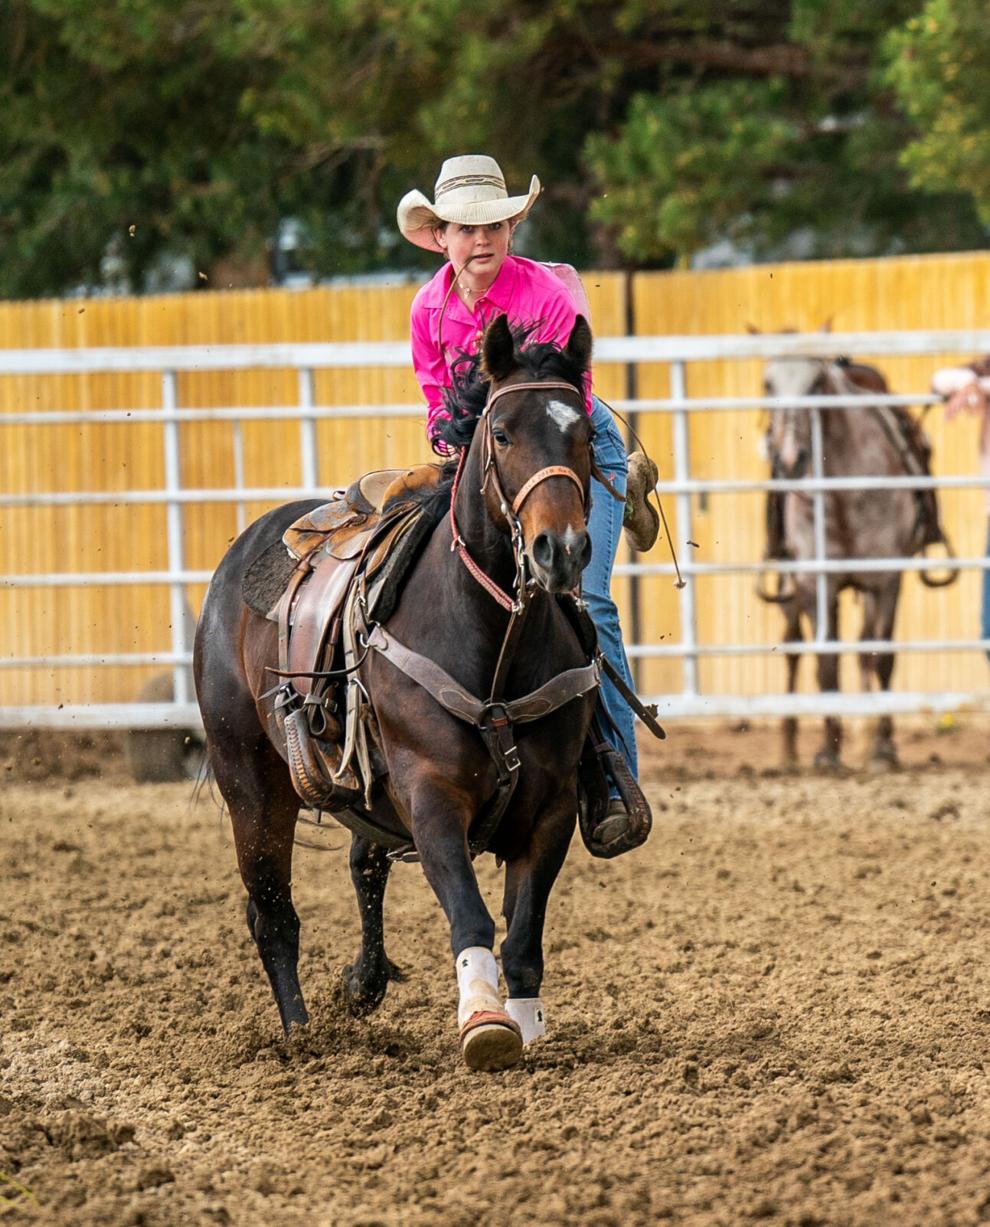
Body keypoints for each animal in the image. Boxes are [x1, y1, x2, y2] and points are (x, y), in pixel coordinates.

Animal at [190, 314, 601, 1065]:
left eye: (583, 432)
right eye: (502, 433)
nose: (559, 549)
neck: (493, 644)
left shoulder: (552, 806)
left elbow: (524, 937)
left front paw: (525, 1024)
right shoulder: (431, 794)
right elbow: (469, 913)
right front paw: (484, 1022)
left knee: (363, 863)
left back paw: (364, 982)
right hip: (249, 779)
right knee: (272, 912)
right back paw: (301, 1034)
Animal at [760, 353, 951, 765]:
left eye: (816, 383)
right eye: (768, 383)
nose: (789, 460)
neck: (843, 495)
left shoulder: (885, 580)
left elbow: (879, 655)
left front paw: (878, 745)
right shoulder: (812, 583)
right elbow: (826, 663)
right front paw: (829, 750)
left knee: (864, 648)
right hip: (789, 584)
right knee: (793, 648)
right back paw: (787, 748)